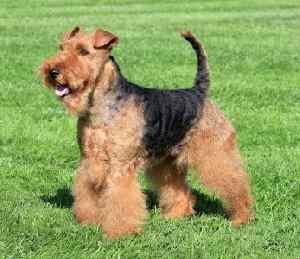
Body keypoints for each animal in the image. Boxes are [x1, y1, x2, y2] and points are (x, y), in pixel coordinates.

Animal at [39, 27, 254, 241]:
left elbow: (120, 200)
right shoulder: (90, 162)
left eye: (83, 51)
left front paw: (119, 233)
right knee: (179, 189)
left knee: (236, 184)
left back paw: (241, 217)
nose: (52, 71)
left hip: (215, 154)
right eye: (62, 48)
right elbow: (88, 194)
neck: (100, 107)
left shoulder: (120, 165)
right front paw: (88, 221)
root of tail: (199, 91)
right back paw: (175, 215)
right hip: (167, 162)